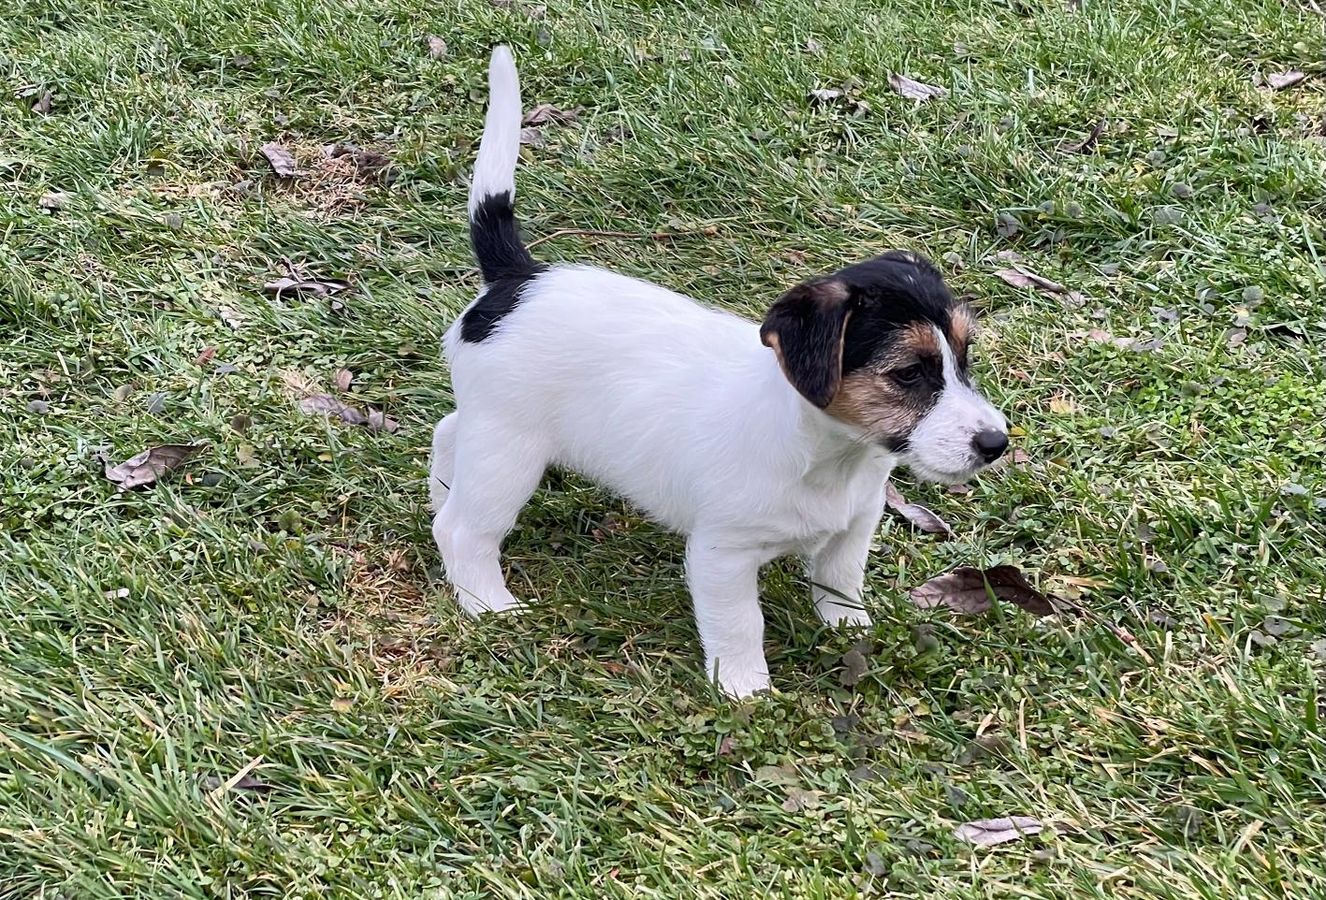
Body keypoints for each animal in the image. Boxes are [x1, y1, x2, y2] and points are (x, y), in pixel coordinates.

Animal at [430, 46, 1009, 697]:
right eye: (909, 373)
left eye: (965, 356)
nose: (996, 443)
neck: (827, 454)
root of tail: (516, 278)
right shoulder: (722, 556)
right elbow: (740, 625)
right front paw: (746, 690)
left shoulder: (854, 527)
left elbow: (840, 584)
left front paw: (849, 631)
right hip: (510, 452)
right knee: (464, 528)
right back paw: (487, 602)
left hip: (492, 431)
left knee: (449, 433)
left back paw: (439, 489)